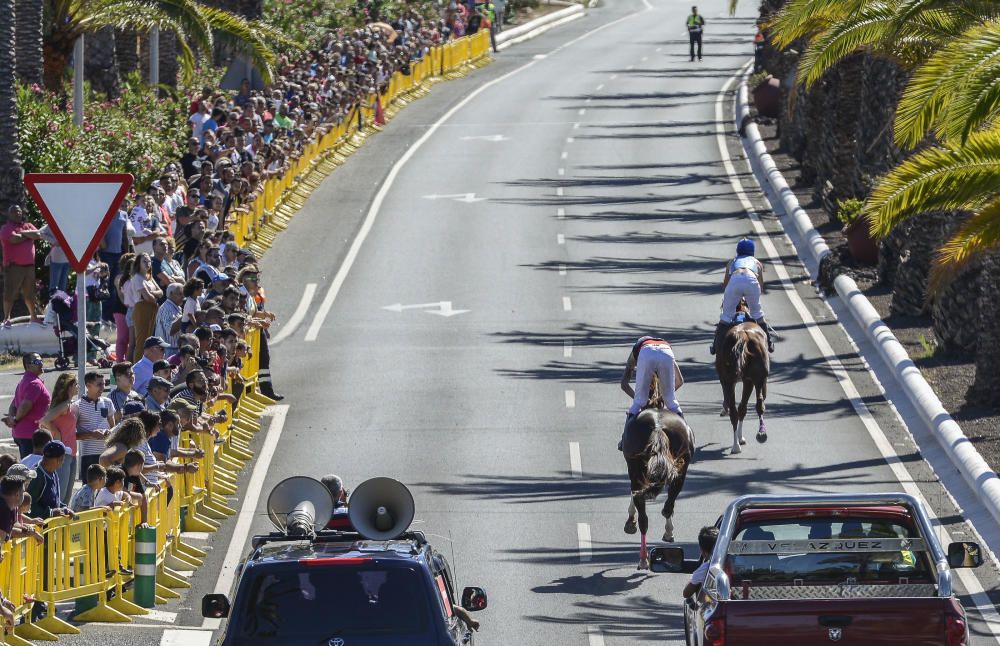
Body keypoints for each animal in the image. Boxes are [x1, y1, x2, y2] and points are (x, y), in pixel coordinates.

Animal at [620, 382, 692, 568]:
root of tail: (658, 425)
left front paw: (630, 520)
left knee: (646, 512)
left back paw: (644, 557)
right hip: (681, 468)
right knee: (668, 505)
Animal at [716, 300, 768, 456]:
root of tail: (743, 337)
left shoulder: (728, 380)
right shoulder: (748, 380)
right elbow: (743, 408)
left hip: (732, 379)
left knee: (735, 411)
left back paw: (736, 446)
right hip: (757, 378)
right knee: (758, 404)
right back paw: (761, 433)